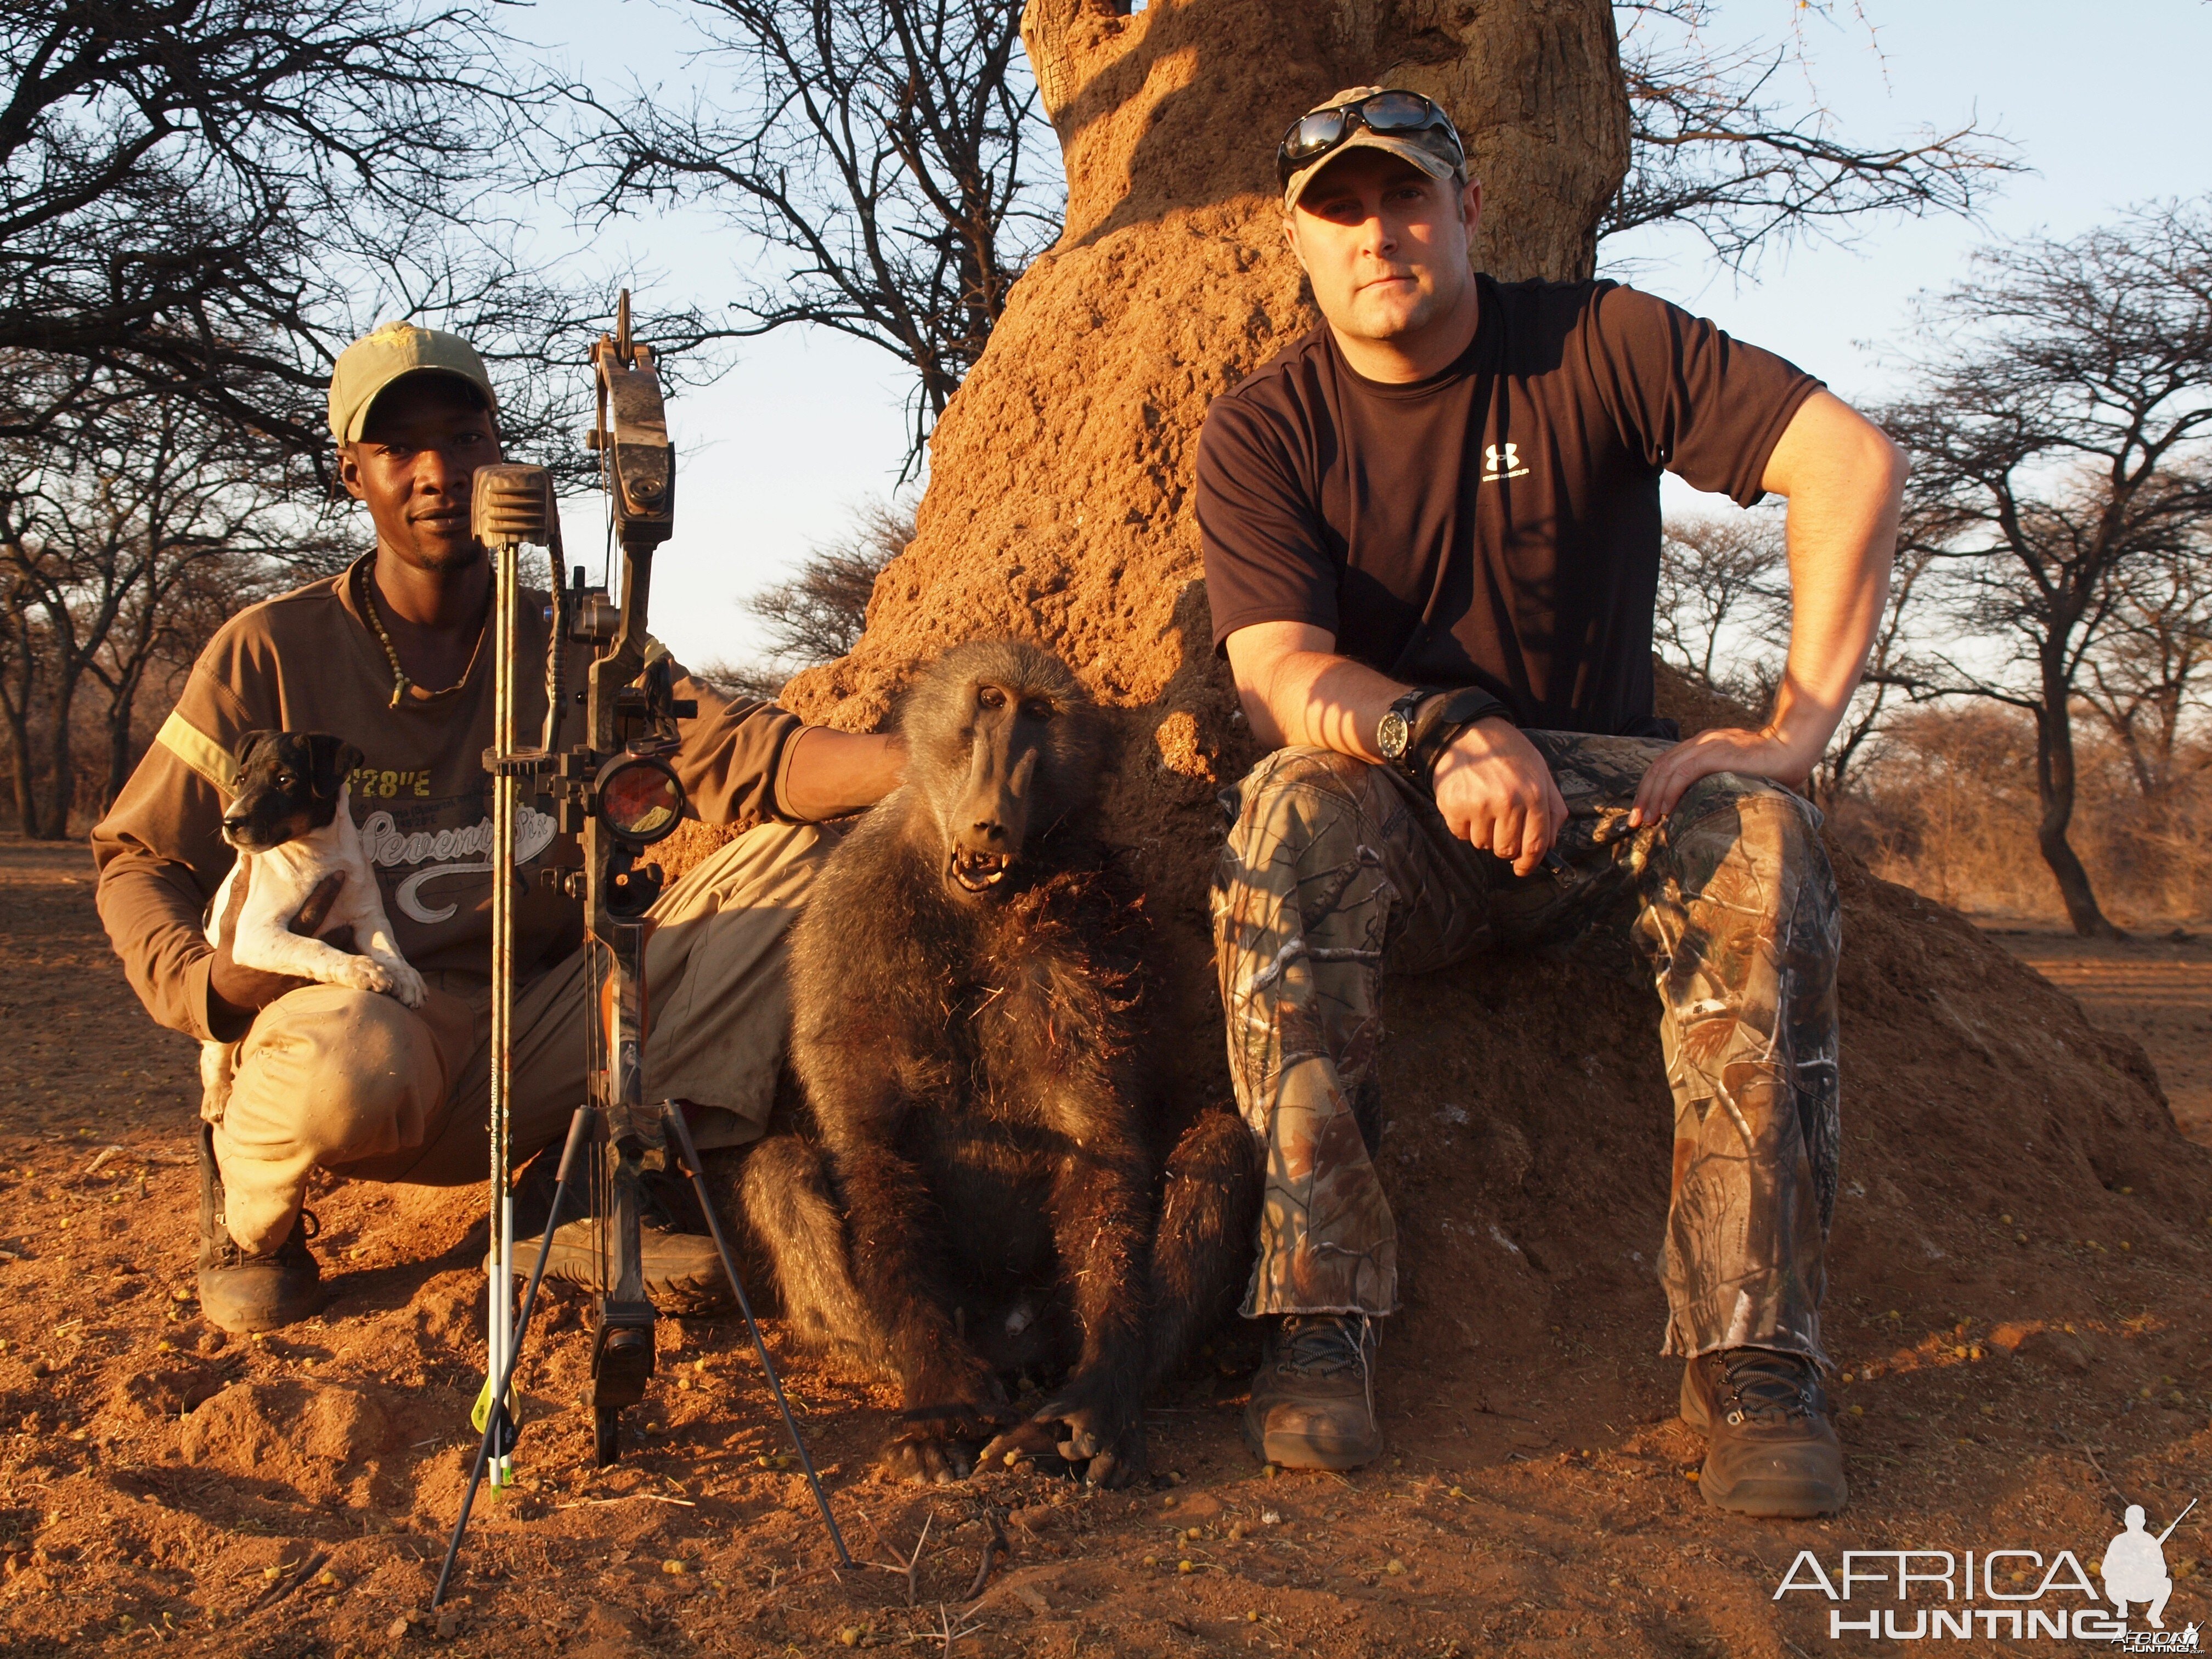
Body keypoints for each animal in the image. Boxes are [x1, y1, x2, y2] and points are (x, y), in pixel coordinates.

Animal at [203, 738, 427, 1119]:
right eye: (242, 779)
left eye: (284, 779)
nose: (230, 822)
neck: (316, 853)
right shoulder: (255, 933)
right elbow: (313, 947)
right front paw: (359, 968)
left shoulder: (368, 918)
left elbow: (389, 948)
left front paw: (407, 976)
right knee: (212, 1053)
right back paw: (217, 1094)